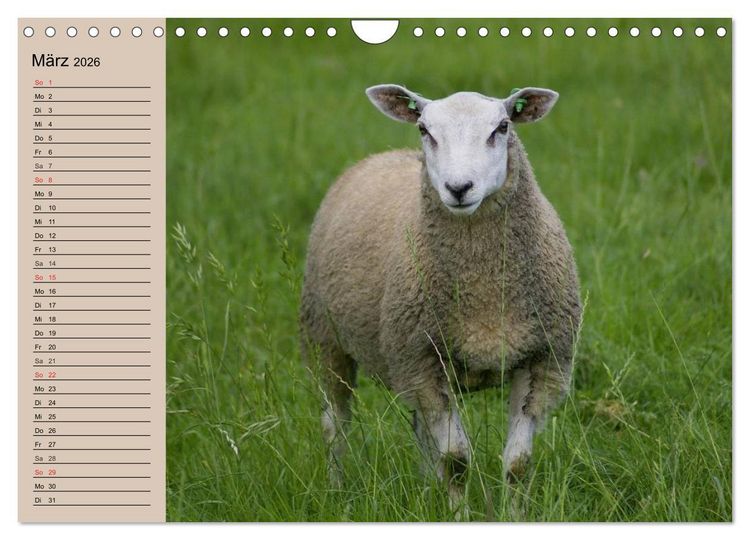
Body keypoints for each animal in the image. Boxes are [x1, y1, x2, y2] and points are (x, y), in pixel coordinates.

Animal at [299, 84, 581, 508]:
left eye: (502, 127)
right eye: (424, 129)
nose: (459, 188)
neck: (483, 286)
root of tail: (382, 155)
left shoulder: (543, 360)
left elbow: (517, 464)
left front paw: (514, 514)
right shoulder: (422, 361)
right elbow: (456, 460)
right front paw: (458, 513)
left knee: (418, 428)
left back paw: (423, 488)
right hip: (326, 339)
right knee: (335, 426)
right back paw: (337, 494)